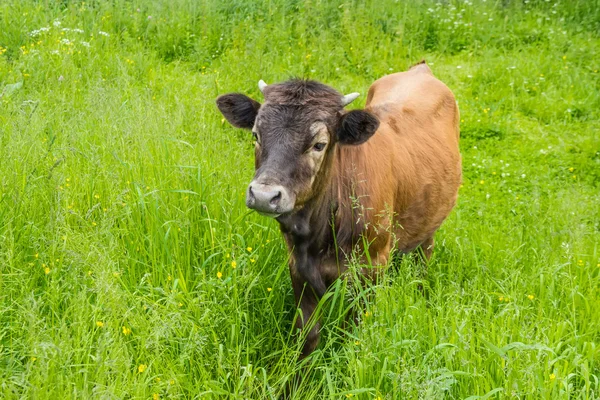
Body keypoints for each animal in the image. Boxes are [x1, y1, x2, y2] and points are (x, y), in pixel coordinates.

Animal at [218, 61, 462, 358]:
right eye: (256, 135)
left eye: (319, 144)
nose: (264, 196)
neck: (317, 234)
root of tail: (420, 70)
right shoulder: (298, 266)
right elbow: (308, 334)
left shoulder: (371, 267)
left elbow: (351, 334)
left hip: (428, 229)